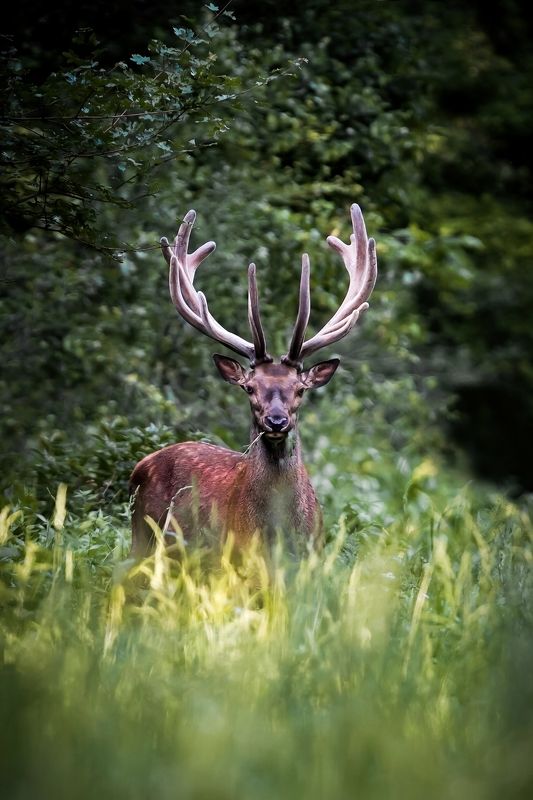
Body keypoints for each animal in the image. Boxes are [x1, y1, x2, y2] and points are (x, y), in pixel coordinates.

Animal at [129, 204, 377, 558]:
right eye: (249, 387)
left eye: (300, 389)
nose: (276, 421)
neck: (278, 533)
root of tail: (140, 465)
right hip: (142, 535)